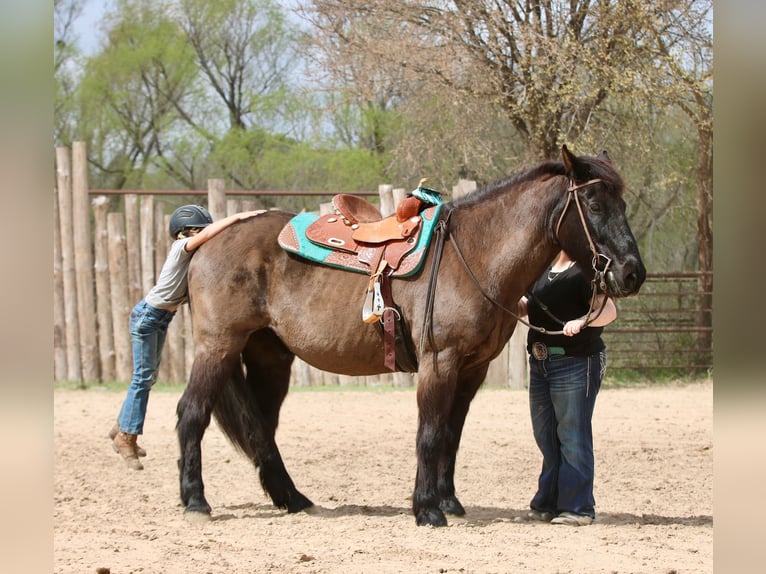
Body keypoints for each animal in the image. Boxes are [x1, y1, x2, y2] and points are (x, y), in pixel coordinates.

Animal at [176, 145, 646, 527]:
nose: (632, 273)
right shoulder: (440, 361)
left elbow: (452, 433)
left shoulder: (472, 369)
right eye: (592, 203)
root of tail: (205, 241)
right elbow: (430, 432)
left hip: (269, 356)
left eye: (622, 202)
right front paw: (427, 509)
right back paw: (196, 501)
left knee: (261, 428)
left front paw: (449, 501)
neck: (474, 253)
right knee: (192, 413)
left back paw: (292, 499)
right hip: (219, 346)